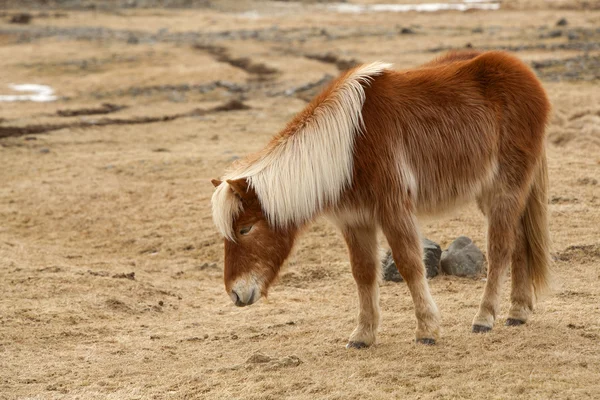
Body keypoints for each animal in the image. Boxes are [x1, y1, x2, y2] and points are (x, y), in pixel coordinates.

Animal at [213, 50, 552, 346]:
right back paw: (518, 311)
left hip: (505, 189)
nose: (235, 294)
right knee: (519, 242)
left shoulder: (394, 210)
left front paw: (427, 329)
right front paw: (363, 335)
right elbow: (363, 273)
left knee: (500, 249)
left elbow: (409, 263)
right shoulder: (354, 220)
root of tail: (527, 76)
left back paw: (485, 317)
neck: (349, 147)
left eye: (245, 229)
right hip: (490, 193)